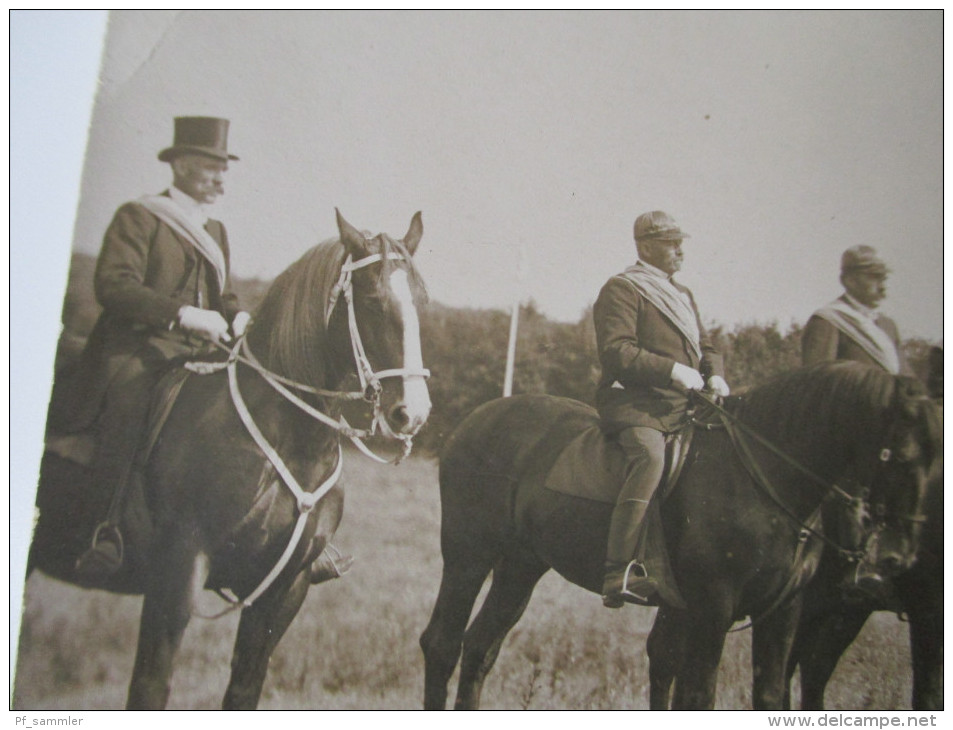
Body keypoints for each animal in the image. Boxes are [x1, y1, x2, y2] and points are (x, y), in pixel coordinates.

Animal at [27, 209, 432, 704]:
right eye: (372, 301)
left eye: (421, 301)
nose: (412, 413)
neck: (291, 446)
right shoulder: (177, 573)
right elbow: (149, 685)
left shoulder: (285, 589)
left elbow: (244, 687)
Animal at [422, 362, 936, 708]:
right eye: (898, 454)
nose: (900, 556)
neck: (763, 476)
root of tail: (477, 419)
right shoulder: (713, 609)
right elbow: (697, 695)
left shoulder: (783, 611)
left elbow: (770, 695)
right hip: (468, 556)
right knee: (442, 644)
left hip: (521, 566)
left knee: (479, 648)